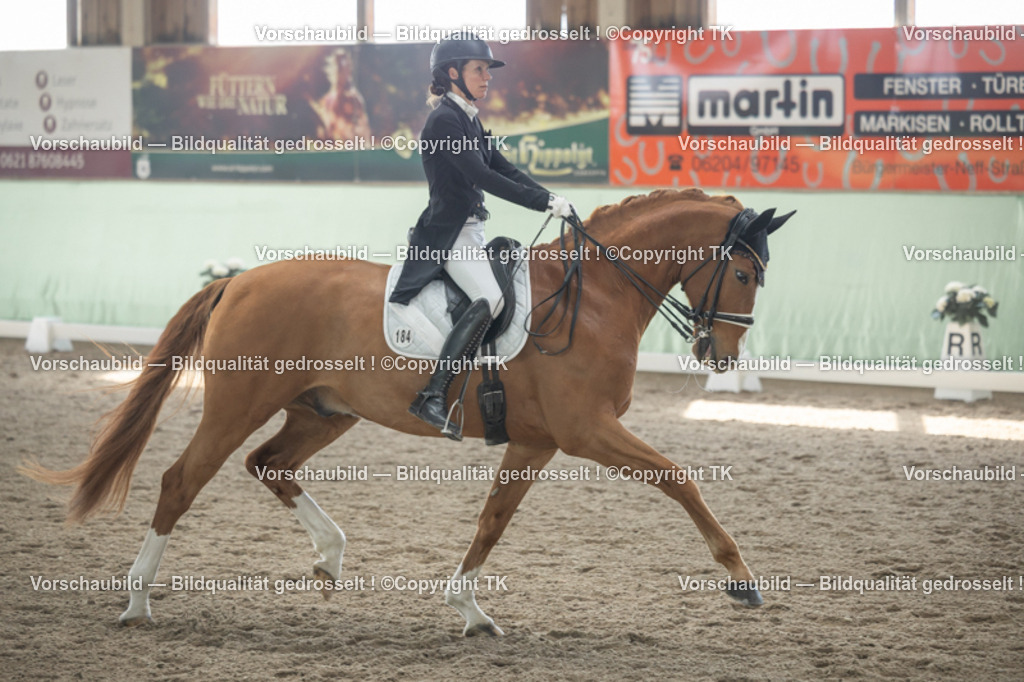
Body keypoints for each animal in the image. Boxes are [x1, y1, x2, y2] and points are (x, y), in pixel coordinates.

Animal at [21, 188, 793, 636]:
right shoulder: (587, 431)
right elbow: (680, 479)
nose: (722, 354)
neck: (594, 295)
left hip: (324, 411)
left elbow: (493, 519)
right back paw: (136, 602)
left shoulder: (538, 441)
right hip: (240, 404)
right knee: (184, 480)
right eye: (744, 272)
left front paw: (469, 609)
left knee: (268, 464)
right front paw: (741, 580)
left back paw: (329, 557)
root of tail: (240, 280)